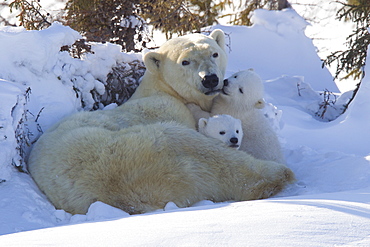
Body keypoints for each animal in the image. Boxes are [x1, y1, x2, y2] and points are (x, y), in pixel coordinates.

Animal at [28, 29, 294, 215]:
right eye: (185, 61)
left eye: (214, 53)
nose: (210, 79)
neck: (161, 89)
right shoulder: (167, 108)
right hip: (152, 150)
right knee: (213, 158)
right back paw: (278, 174)